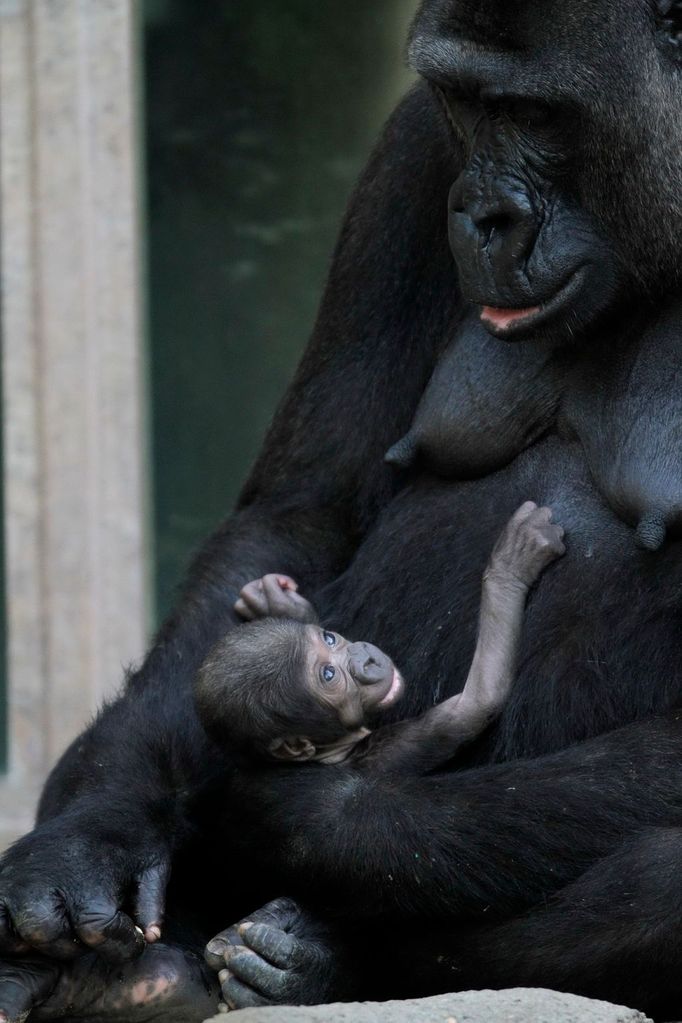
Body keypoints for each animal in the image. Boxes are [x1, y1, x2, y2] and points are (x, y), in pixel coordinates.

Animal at [196, 503, 564, 769]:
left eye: (330, 639)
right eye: (328, 675)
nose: (366, 658)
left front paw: (278, 602)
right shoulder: (387, 749)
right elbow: (477, 702)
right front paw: (511, 564)